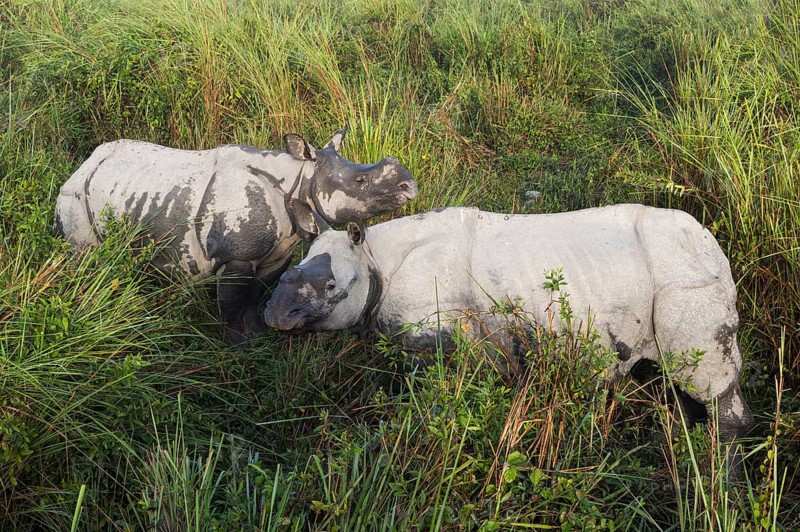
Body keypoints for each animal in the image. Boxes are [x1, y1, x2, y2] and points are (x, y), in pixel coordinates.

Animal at [54, 127, 417, 342]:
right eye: (360, 181)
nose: (409, 186)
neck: (300, 178)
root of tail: (84, 163)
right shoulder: (237, 255)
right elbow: (231, 301)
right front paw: (236, 345)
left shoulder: (278, 252)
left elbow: (255, 295)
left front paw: (258, 337)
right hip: (74, 195)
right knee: (83, 256)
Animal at [263, 204, 753, 441]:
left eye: (332, 287)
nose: (273, 315)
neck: (372, 257)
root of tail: (716, 251)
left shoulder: (437, 336)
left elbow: (431, 397)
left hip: (686, 279)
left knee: (706, 381)